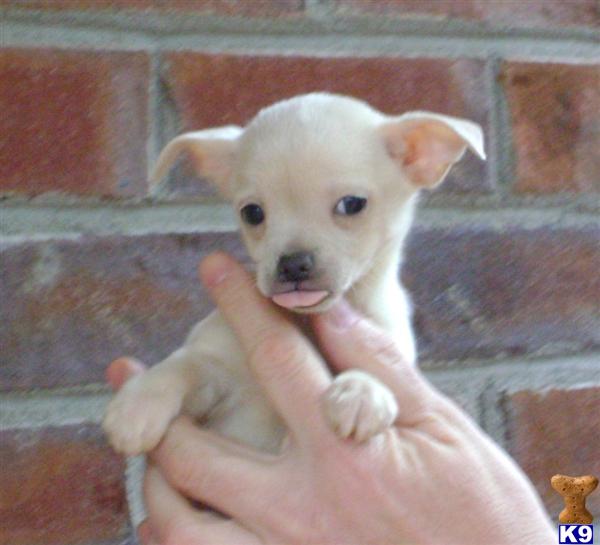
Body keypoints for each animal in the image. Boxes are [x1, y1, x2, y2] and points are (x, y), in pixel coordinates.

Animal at [104, 92, 482, 454]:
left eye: (352, 204)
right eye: (252, 213)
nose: (292, 263)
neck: (304, 321)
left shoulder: (392, 341)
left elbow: (383, 369)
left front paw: (362, 390)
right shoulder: (215, 367)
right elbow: (185, 364)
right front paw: (139, 402)